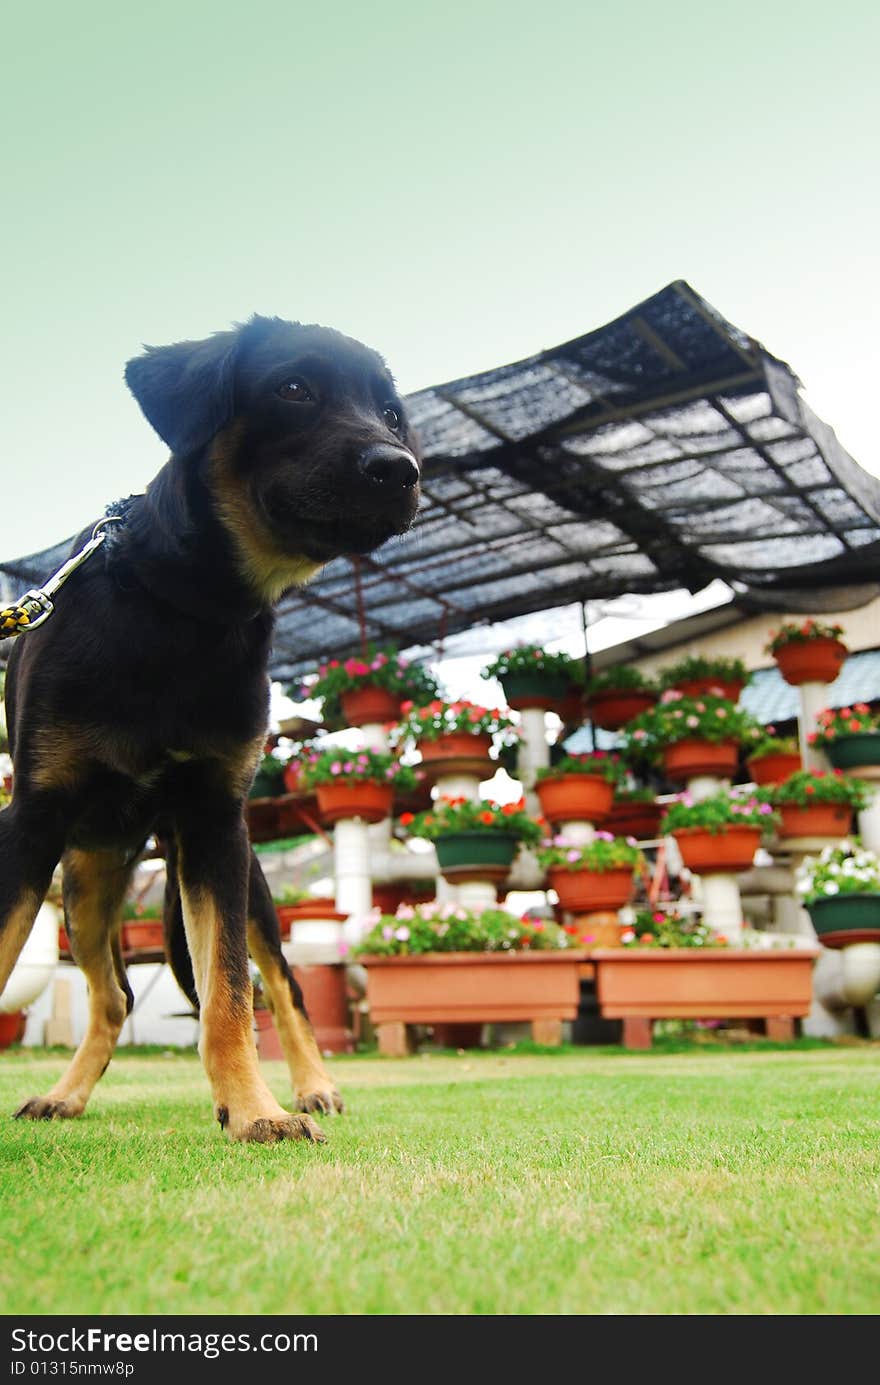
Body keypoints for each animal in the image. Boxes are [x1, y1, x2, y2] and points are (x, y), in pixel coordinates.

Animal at [2, 317, 424, 1146]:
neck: (186, 605)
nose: (404, 470)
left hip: (240, 875)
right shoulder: (31, 819)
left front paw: (256, 1110)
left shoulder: (216, 824)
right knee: (115, 995)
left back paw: (313, 1086)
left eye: (392, 413)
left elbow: (230, 989)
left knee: (282, 985)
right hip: (86, 885)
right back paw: (66, 1095)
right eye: (293, 388)